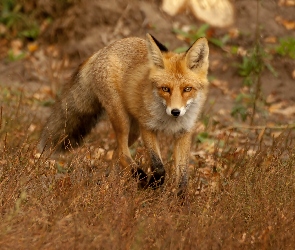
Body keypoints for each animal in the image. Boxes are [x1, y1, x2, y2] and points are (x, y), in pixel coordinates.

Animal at [40, 34, 210, 195]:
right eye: (165, 89)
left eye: (187, 89)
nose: (175, 111)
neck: (170, 122)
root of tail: (103, 49)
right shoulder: (147, 127)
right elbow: (158, 166)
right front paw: (154, 184)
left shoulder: (184, 133)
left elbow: (183, 178)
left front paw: (181, 201)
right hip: (122, 119)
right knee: (122, 153)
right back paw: (140, 180)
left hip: (133, 131)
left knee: (117, 153)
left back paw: (109, 184)